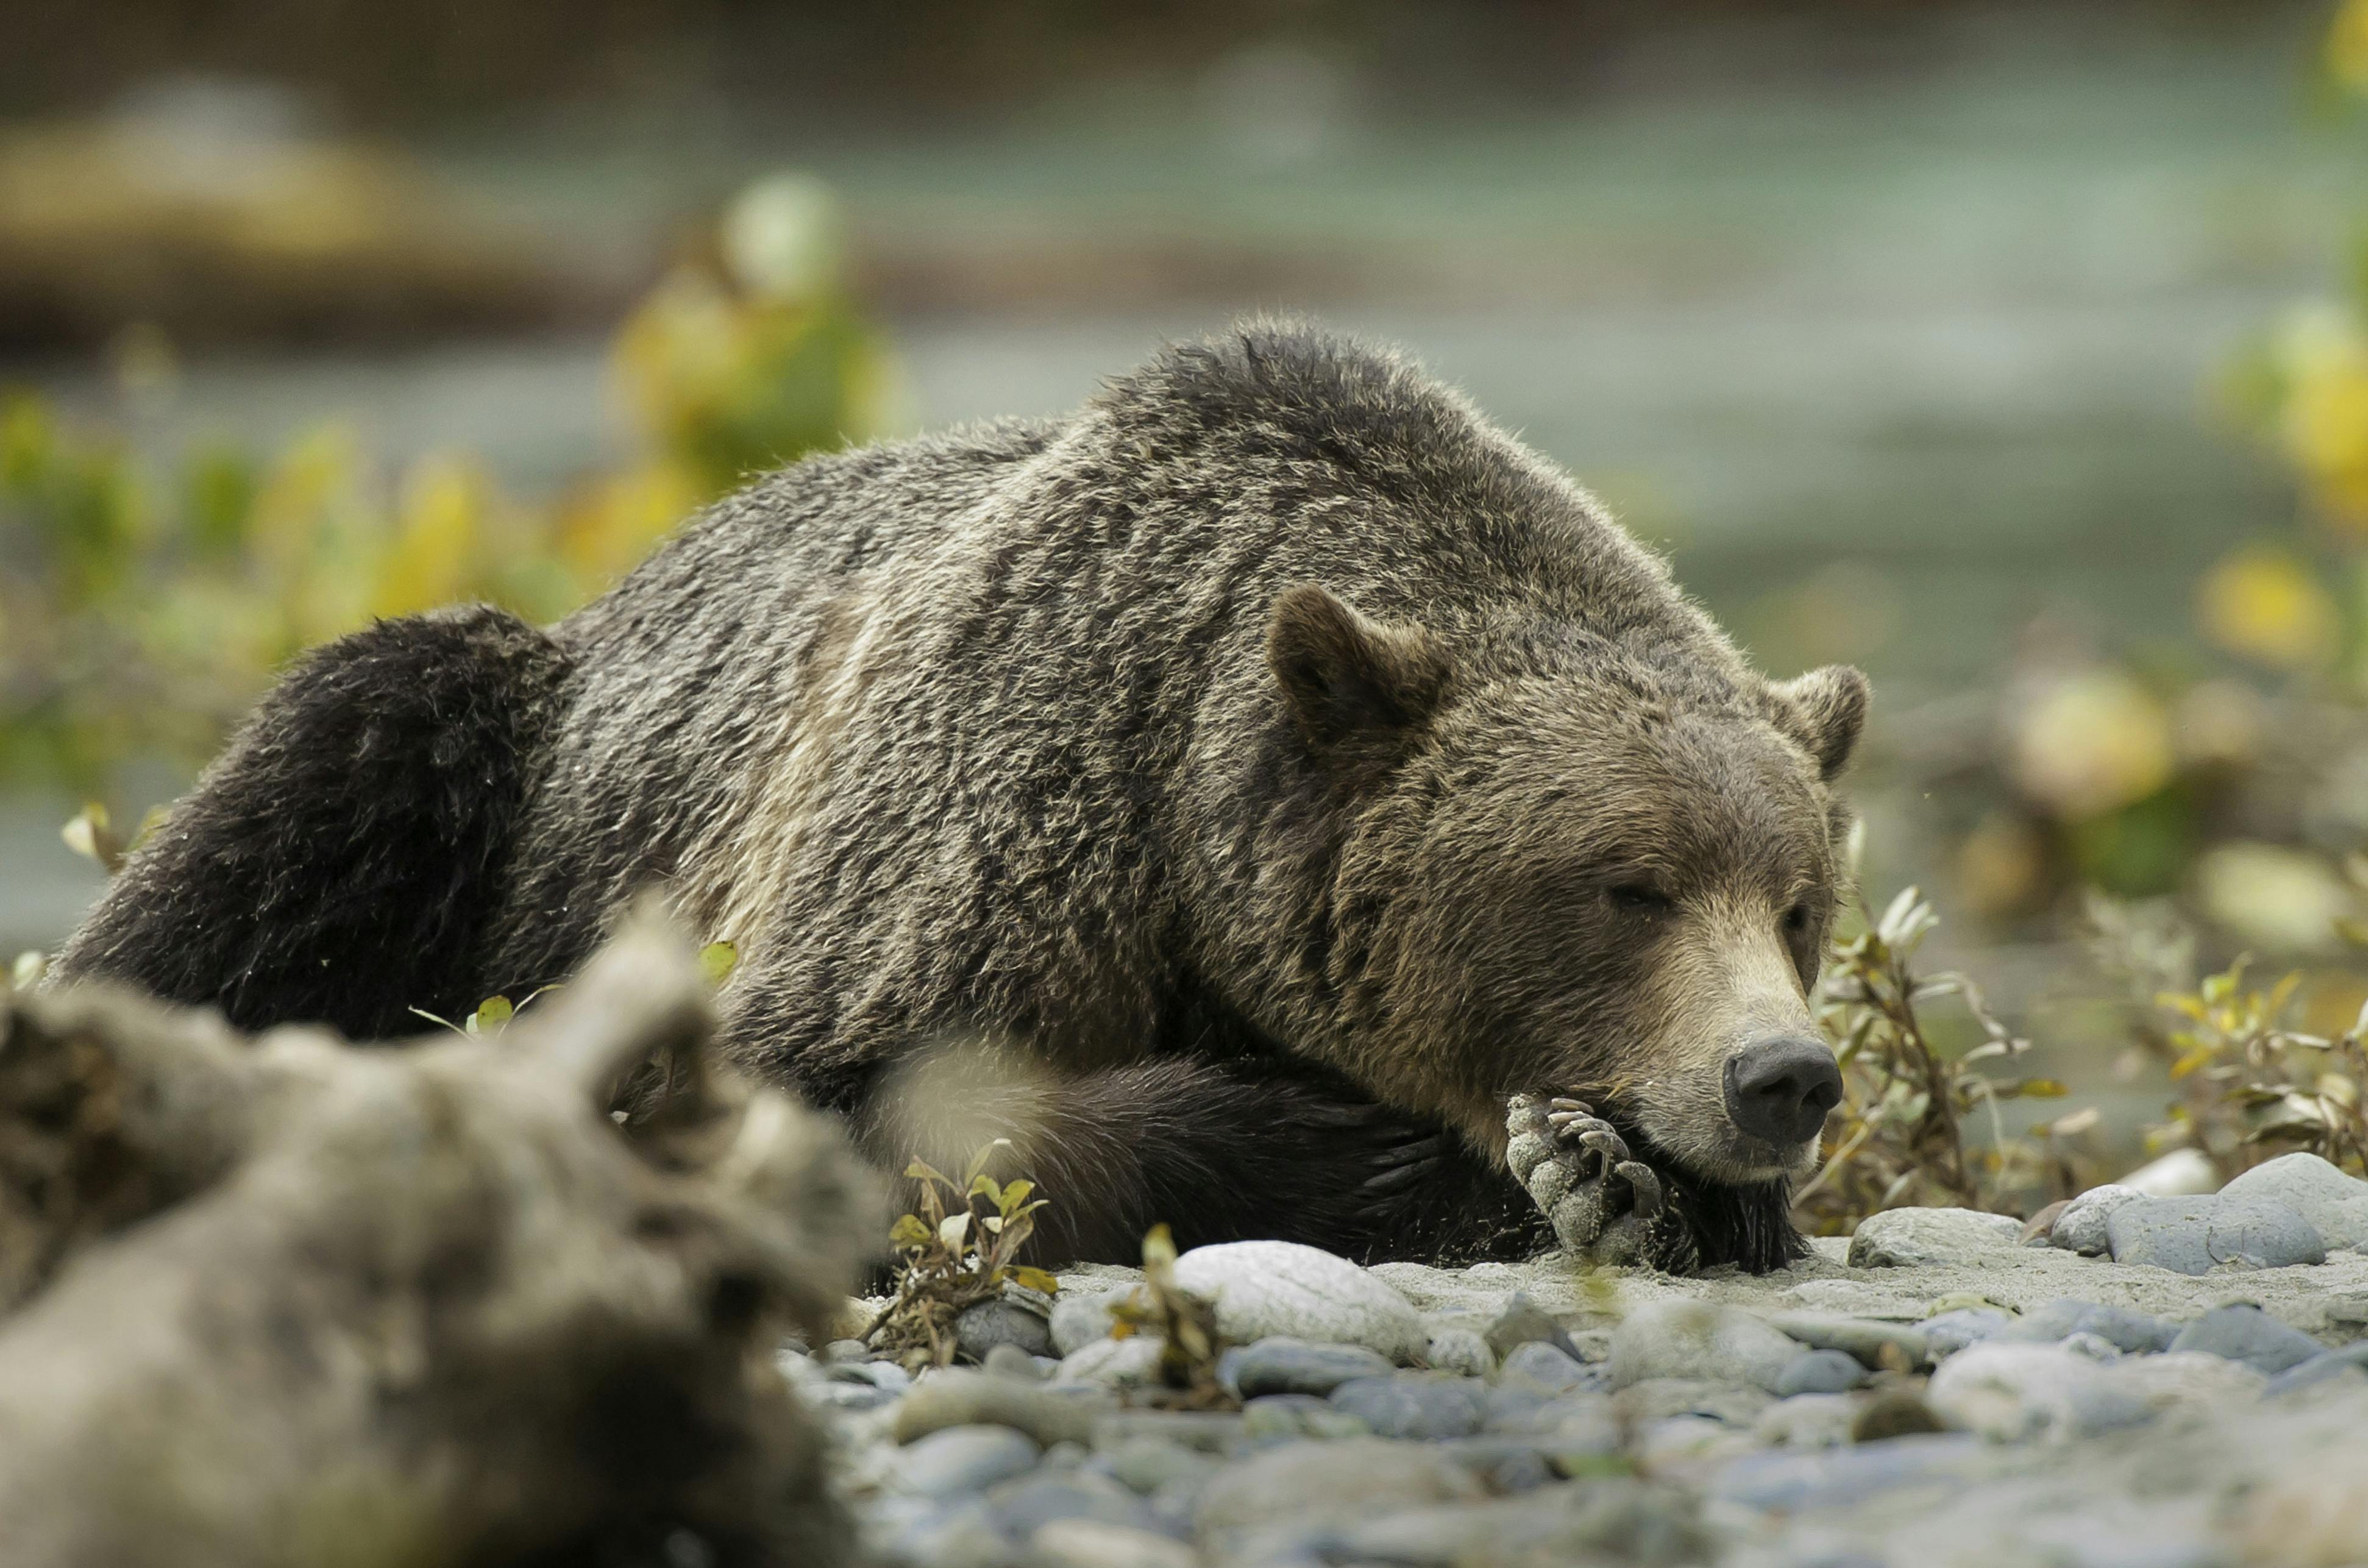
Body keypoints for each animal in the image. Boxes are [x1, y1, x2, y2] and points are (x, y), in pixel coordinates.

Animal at [52, 320, 1864, 1274]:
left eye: (1795, 902)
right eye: (1623, 882)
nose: (1780, 1075)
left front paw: (1630, 1177)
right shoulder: (998, 810)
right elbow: (822, 1094)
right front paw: (1368, 1148)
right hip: (501, 774)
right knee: (304, 793)